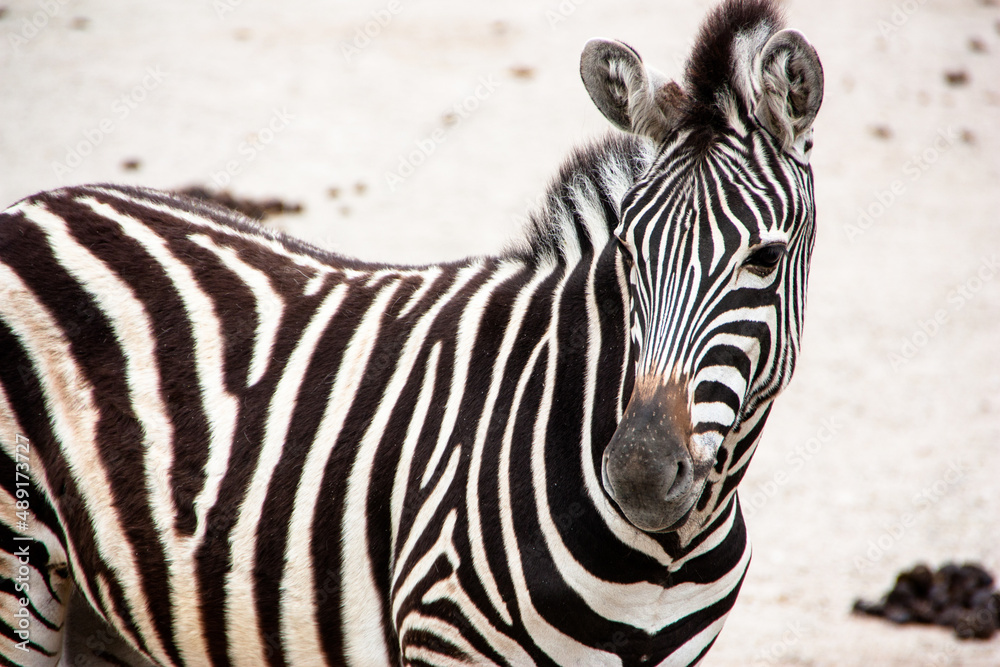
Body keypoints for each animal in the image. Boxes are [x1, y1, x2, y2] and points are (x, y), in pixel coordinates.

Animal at [0, 0, 823, 664]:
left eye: (764, 256)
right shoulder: (445, 637)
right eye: (626, 251)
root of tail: (33, 207)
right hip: (20, 572)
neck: (665, 555)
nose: (640, 475)